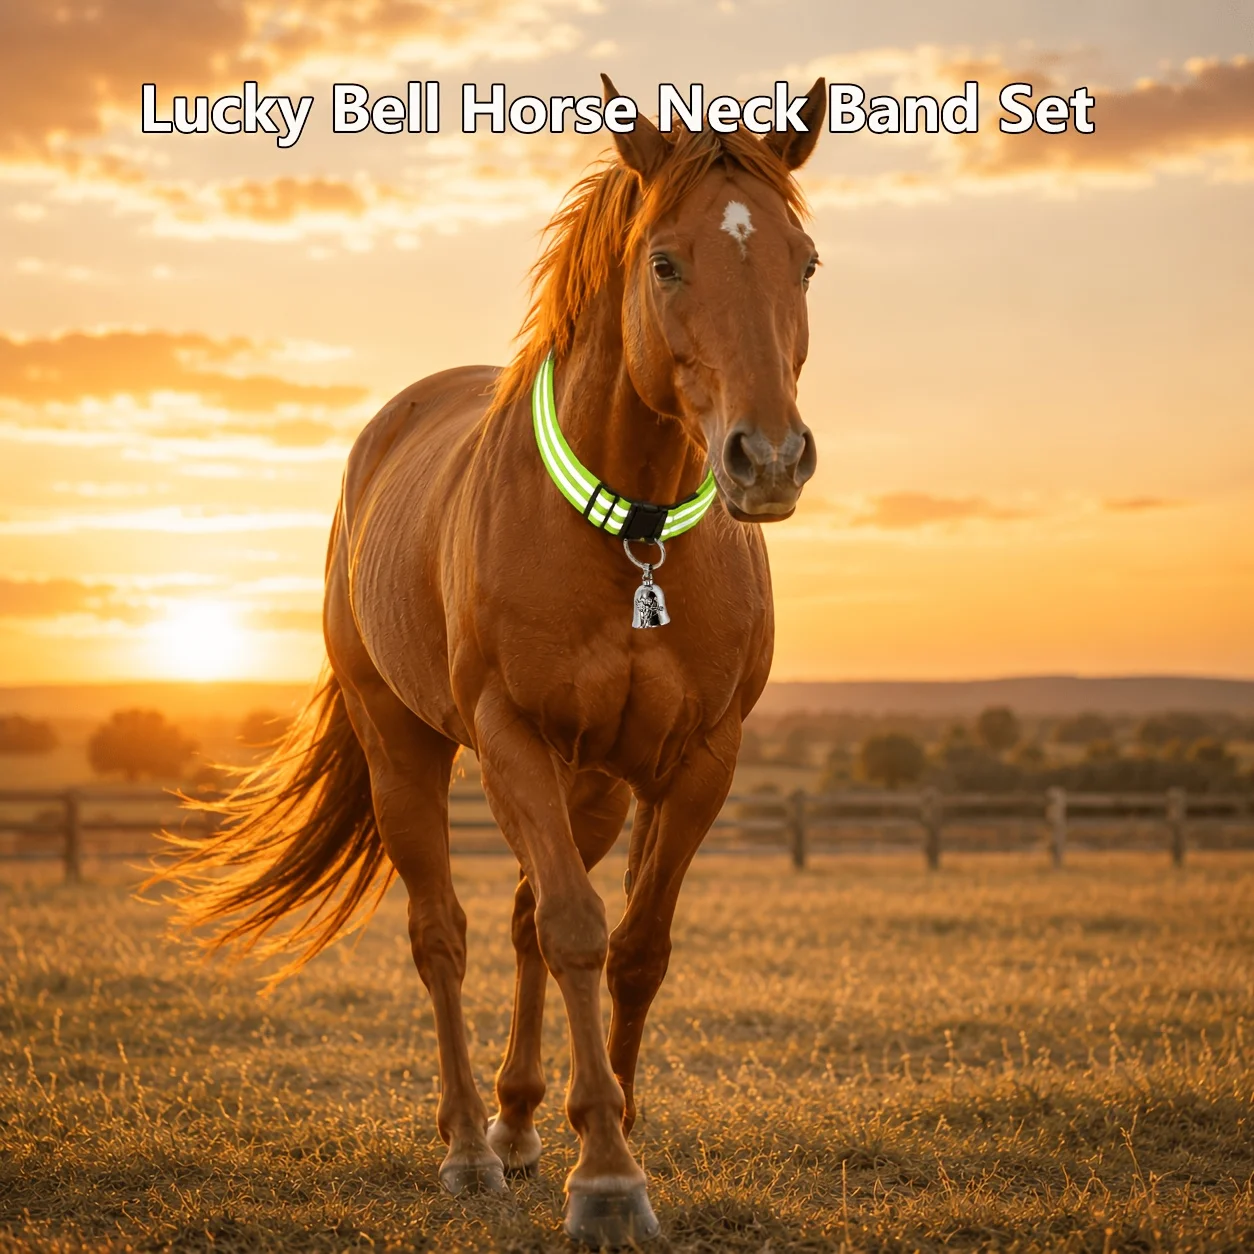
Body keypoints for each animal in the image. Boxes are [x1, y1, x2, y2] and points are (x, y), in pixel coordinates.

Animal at [162, 75, 826, 1246]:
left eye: (805, 262)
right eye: (665, 261)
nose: (770, 460)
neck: (631, 537)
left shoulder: (700, 760)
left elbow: (635, 946)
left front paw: (611, 1130)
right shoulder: (510, 738)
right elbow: (574, 930)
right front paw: (605, 1174)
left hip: (592, 783)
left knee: (520, 922)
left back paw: (518, 1126)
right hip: (407, 749)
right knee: (447, 934)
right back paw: (473, 1146)